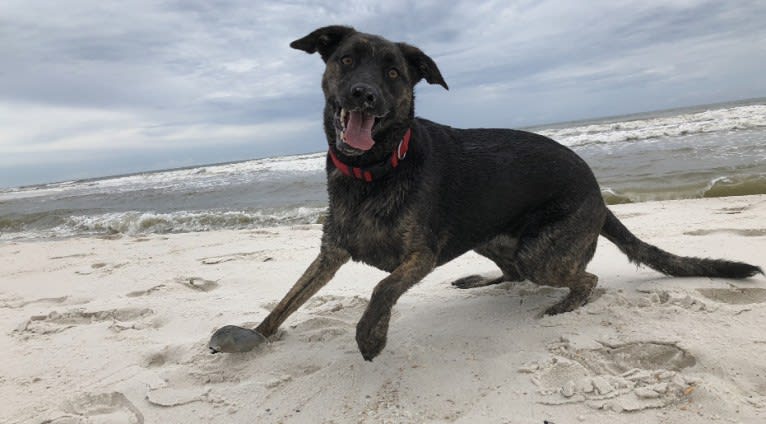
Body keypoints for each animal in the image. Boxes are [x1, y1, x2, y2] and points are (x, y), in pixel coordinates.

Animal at [207, 25, 764, 362]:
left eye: (393, 73)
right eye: (345, 61)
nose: (364, 94)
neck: (375, 170)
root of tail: (599, 192)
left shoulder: (420, 254)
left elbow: (382, 288)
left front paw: (371, 333)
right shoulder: (331, 253)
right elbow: (289, 298)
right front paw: (260, 332)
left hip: (544, 252)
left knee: (584, 277)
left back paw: (566, 304)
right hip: (492, 237)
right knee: (512, 270)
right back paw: (481, 280)